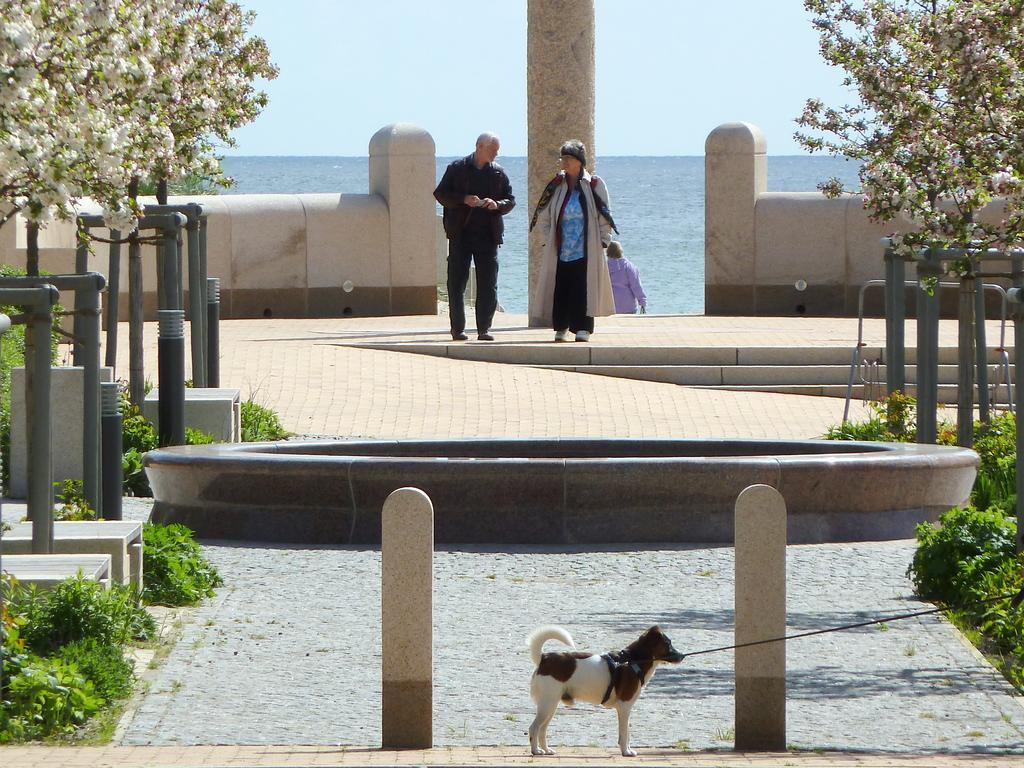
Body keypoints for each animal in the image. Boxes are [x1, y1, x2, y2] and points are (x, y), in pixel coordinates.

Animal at [528, 626, 688, 757]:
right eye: (668, 644)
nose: (682, 655)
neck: (634, 661)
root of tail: (544, 658)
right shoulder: (624, 707)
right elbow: (625, 733)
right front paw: (626, 752)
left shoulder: (625, 709)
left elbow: (625, 733)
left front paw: (627, 750)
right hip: (547, 704)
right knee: (534, 728)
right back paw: (536, 751)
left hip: (551, 706)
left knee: (542, 730)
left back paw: (546, 750)